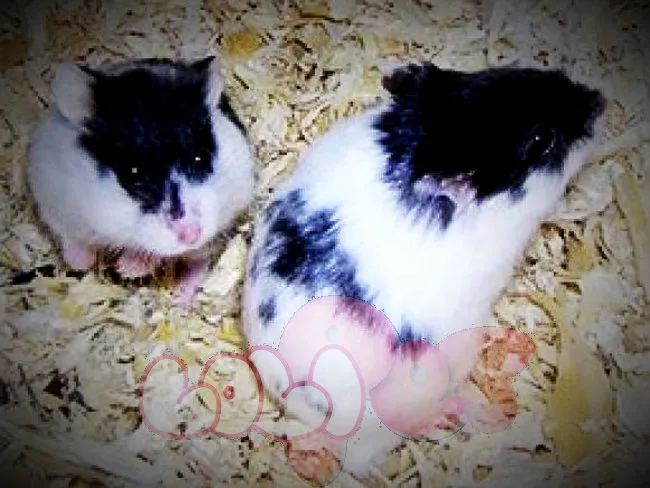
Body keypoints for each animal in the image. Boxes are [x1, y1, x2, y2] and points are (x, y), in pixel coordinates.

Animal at [27, 56, 254, 306]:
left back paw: (180, 299)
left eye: (200, 158)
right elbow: (68, 236)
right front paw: (84, 263)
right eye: (133, 172)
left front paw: (126, 268)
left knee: (198, 262)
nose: (191, 235)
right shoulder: (51, 199)